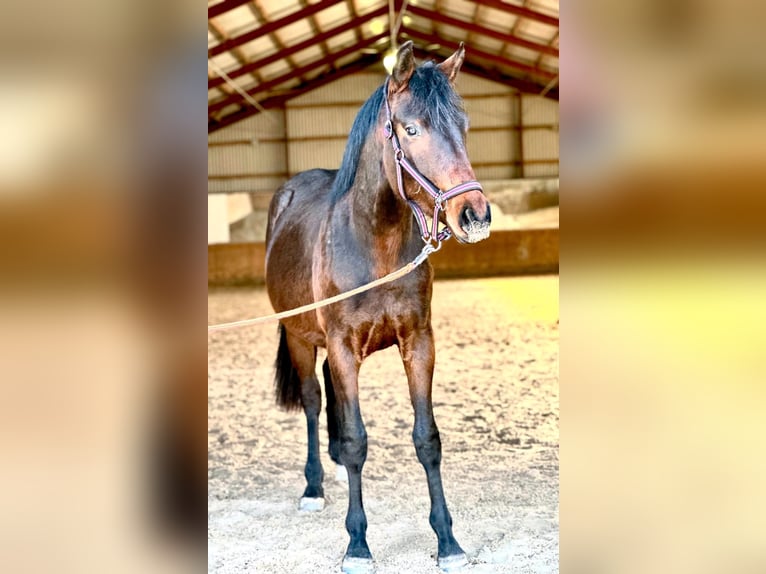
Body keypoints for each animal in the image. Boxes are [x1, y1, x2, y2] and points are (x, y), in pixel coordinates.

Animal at [264, 42, 492, 572]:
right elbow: (356, 441)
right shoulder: (343, 347)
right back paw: (313, 486)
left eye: (465, 125)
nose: (474, 215)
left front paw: (447, 541)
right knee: (313, 400)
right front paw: (357, 544)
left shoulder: (418, 342)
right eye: (411, 129)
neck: (375, 242)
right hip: (301, 337)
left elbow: (427, 439)